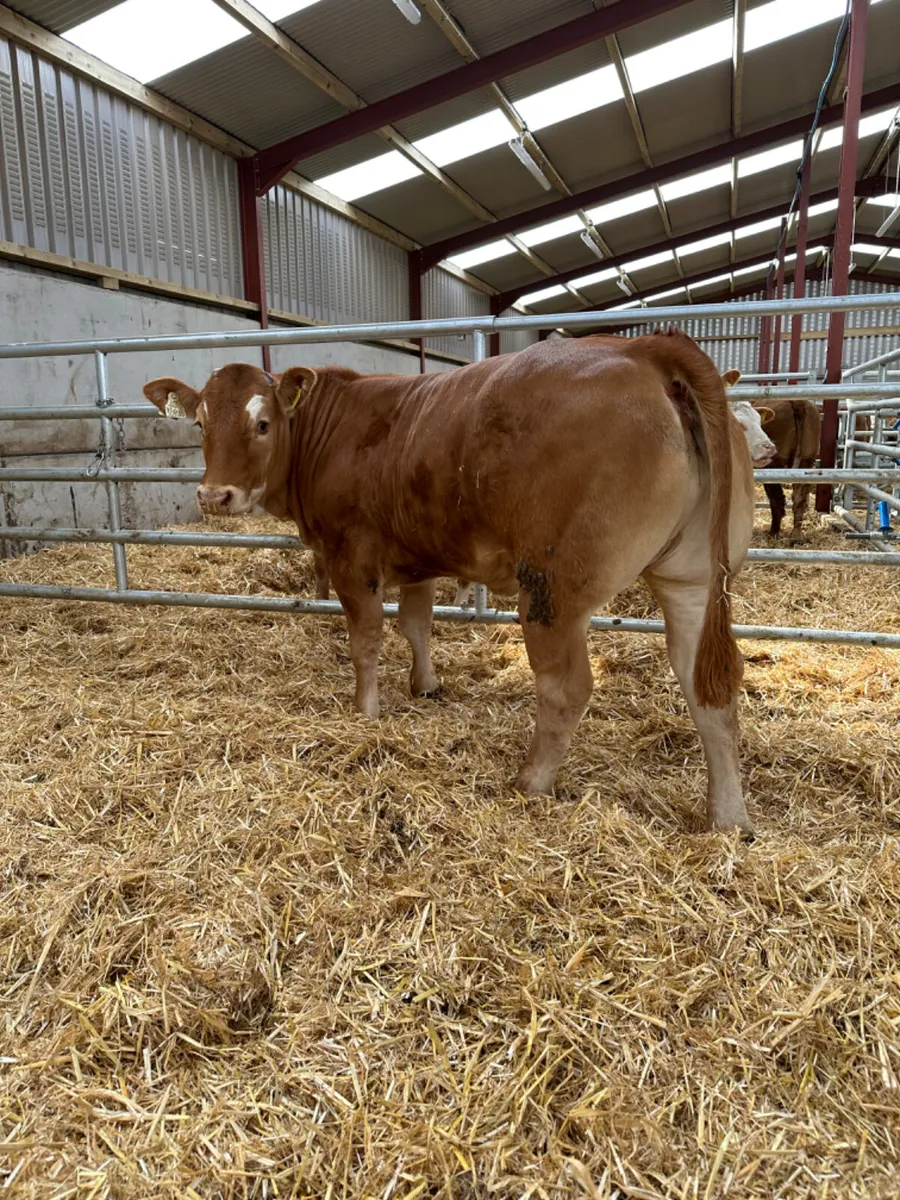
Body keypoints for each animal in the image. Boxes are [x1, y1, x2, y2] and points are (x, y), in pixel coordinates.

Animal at [144, 330, 757, 833]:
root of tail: (643, 348)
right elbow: (417, 626)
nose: (214, 496)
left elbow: (367, 640)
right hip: (693, 579)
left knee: (567, 688)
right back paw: (727, 817)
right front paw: (426, 685)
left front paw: (367, 711)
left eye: (262, 423)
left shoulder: (352, 556)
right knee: (708, 687)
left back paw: (529, 782)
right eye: (200, 423)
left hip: (552, 588)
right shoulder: (417, 558)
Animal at [724, 369, 820, 538]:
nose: (768, 447)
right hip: (806, 460)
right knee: (799, 498)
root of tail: (797, 401)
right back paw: (796, 535)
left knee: (777, 499)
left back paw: (774, 531)